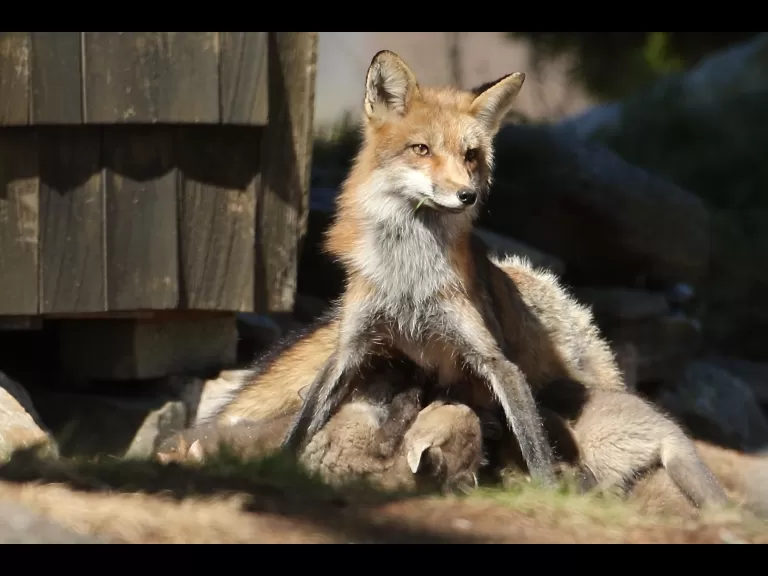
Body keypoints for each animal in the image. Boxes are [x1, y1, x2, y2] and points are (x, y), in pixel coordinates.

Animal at [204, 49, 728, 508]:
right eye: (421, 149)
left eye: (471, 155)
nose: (467, 195)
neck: (409, 281)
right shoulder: (353, 347)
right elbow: (305, 420)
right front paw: (279, 465)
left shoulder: (492, 358)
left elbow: (534, 444)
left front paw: (546, 492)